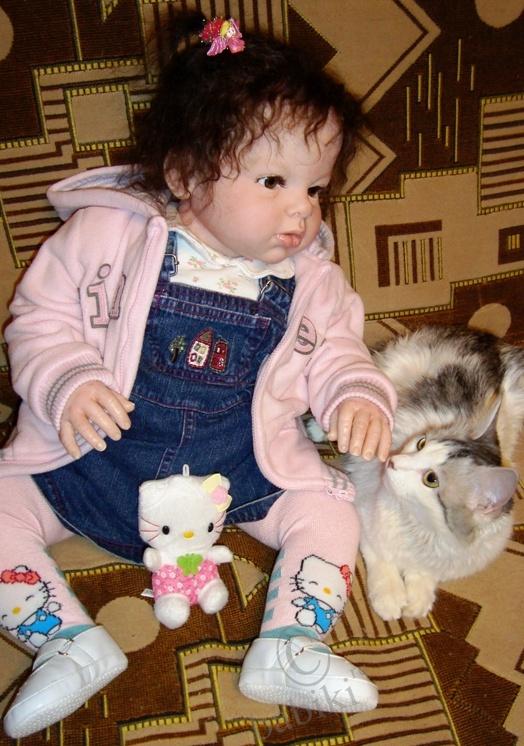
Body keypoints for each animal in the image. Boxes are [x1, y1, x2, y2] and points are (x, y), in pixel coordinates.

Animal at [308, 325, 524, 620]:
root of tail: (489, 340)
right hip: (390, 368)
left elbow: (424, 574)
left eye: (431, 479)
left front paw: (418, 600)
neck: (420, 528)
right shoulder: (365, 509)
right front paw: (390, 600)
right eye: (421, 443)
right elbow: (381, 558)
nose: (393, 461)